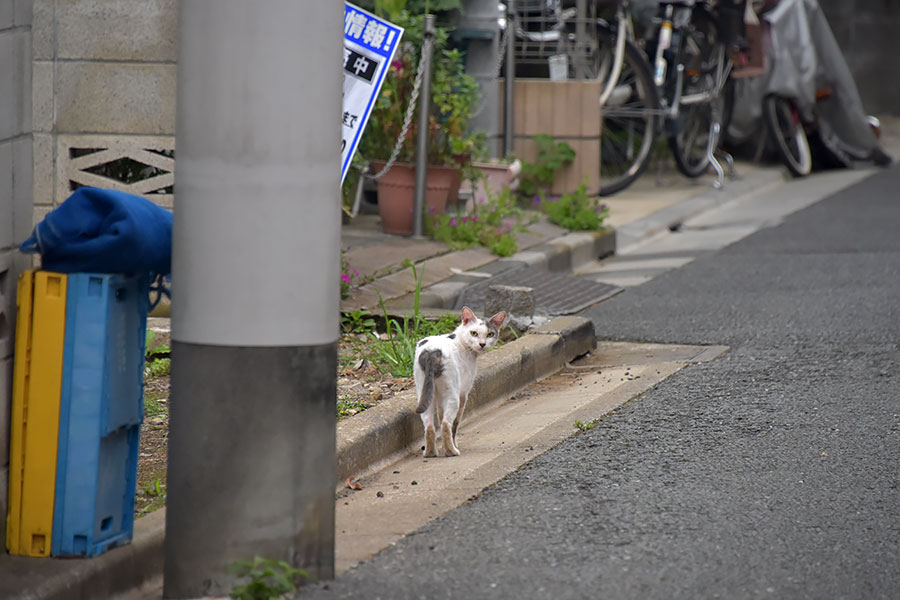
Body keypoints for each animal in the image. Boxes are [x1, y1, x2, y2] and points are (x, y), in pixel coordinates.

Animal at [414, 308, 506, 458]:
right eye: (474, 333)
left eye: (490, 334)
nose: (482, 344)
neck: (461, 340)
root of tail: (432, 351)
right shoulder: (463, 393)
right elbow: (455, 424)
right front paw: (454, 444)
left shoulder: (440, 398)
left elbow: (440, 416)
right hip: (453, 395)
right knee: (446, 424)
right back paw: (451, 451)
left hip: (425, 393)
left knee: (429, 426)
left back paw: (430, 453)